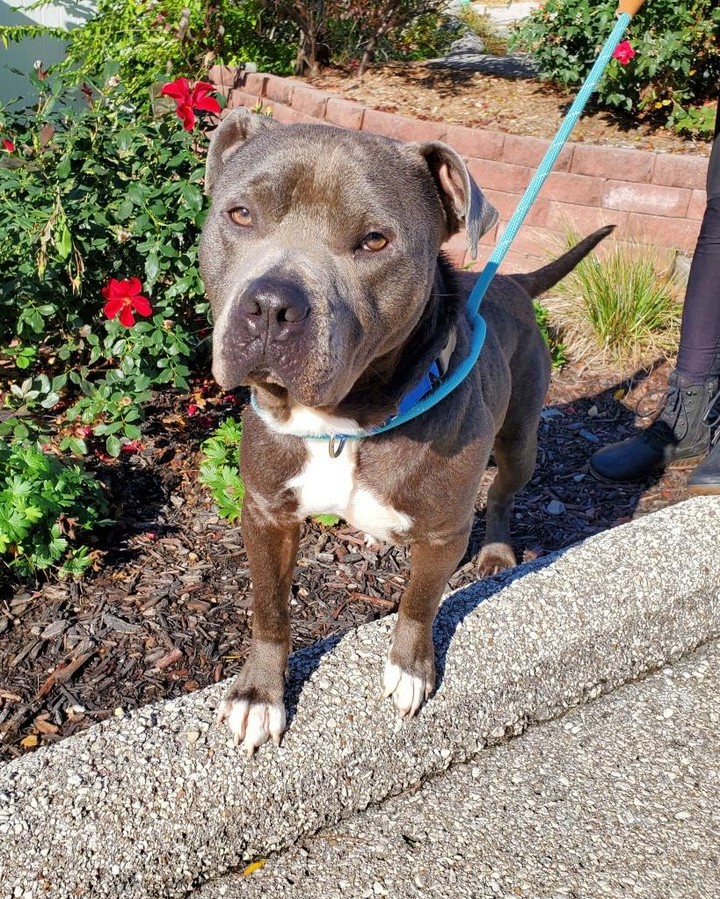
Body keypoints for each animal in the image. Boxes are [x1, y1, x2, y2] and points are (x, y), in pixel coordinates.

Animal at [200, 107, 612, 752]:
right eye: (240, 214)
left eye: (374, 240)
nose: (269, 306)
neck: (345, 421)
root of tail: (512, 280)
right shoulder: (266, 512)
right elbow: (269, 608)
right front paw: (258, 695)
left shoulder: (444, 533)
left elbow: (420, 602)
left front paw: (410, 670)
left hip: (520, 440)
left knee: (503, 493)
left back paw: (496, 552)